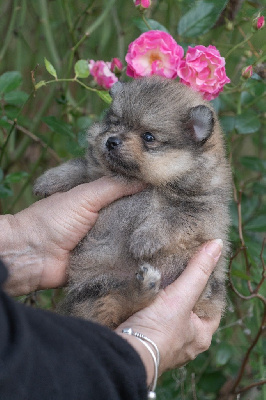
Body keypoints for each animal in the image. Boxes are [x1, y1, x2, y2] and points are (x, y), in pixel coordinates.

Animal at [34, 76, 231, 328]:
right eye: (115, 123)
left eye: (148, 137)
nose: (111, 141)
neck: (152, 182)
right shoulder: (94, 174)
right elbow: (80, 168)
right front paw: (50, 179)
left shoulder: (202, 209)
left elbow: (172, 218)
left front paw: (144, 239)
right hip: (94, 286)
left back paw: (144, 287)